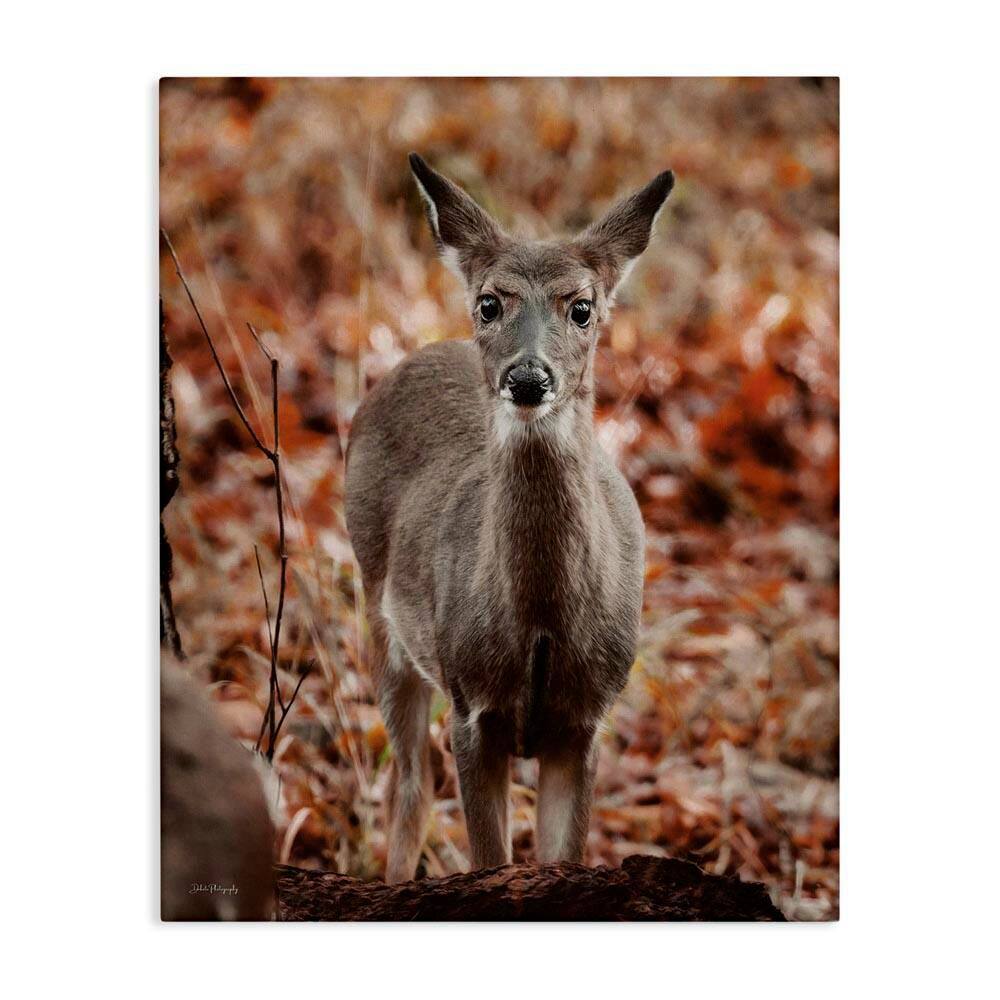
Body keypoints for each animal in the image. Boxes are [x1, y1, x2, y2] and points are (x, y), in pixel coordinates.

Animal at [345, 153, 674, 883]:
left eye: (582, 307)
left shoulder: (586, 720)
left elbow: (561, 856)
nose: (528, 377)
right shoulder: (474, 706)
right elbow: (489, 858)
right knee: (410, 782)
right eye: (490, 303)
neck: (542, 620)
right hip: (382, 617)